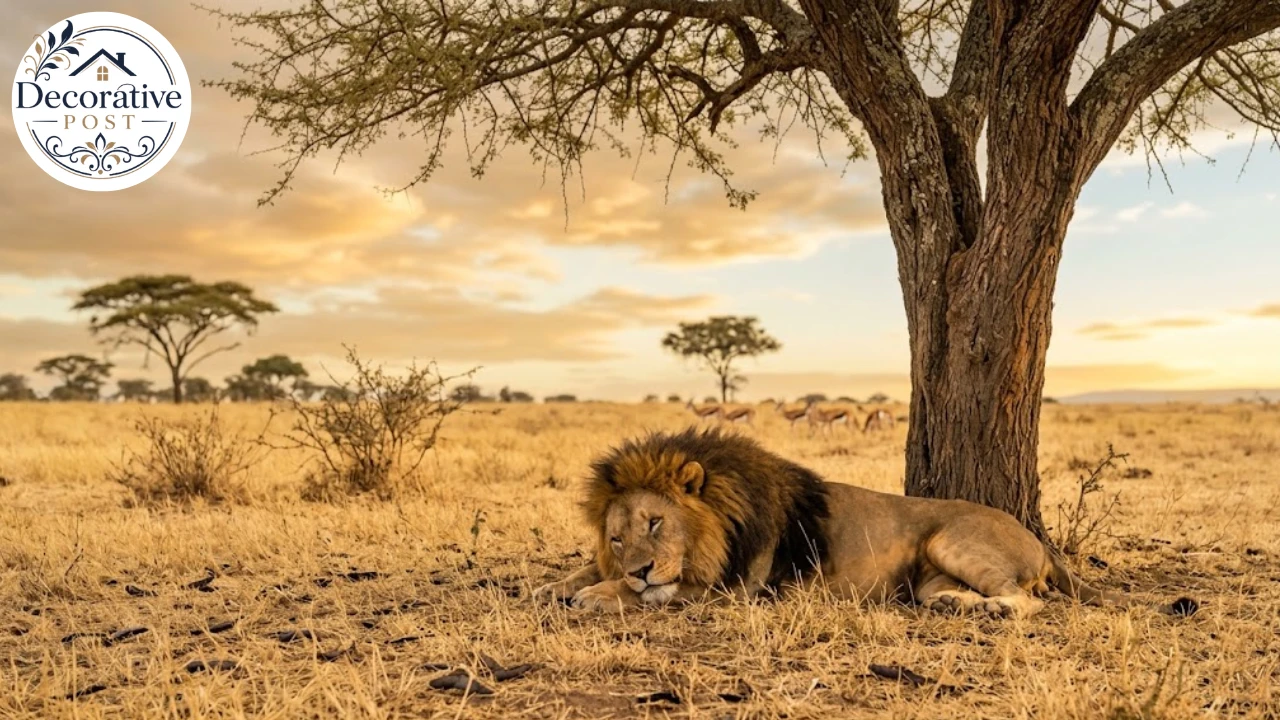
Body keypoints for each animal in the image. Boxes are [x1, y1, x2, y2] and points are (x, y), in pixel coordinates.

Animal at [533, 428, 1143, 617]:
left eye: (657, 523)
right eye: (617, 537)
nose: (636, 568)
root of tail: (1038, 539)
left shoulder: (734, 587)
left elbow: (657, 591)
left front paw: (602, 593)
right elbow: (584, 570)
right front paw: (555, 585)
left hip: (952, 540)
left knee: (1028, 601)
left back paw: (993, 611)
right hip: (928, 578)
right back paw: (956, 605)